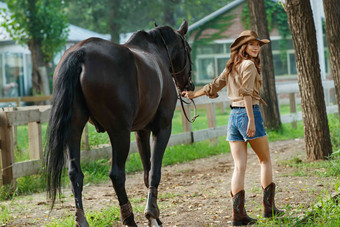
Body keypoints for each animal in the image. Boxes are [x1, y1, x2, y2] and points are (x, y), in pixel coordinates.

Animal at [45, 20, 194, 227]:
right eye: (188, 49)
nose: (189, 85)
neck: (155, 52)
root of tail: (81, 54)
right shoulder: (162, 128)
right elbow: (154, 172)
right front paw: (152, 214)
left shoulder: (141, 131)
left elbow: (147, 172)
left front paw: (154, 217)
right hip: (119, 132)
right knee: (117, 175)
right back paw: (129, 219)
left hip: (73, 129)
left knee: (75, 174)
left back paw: (82, 220)